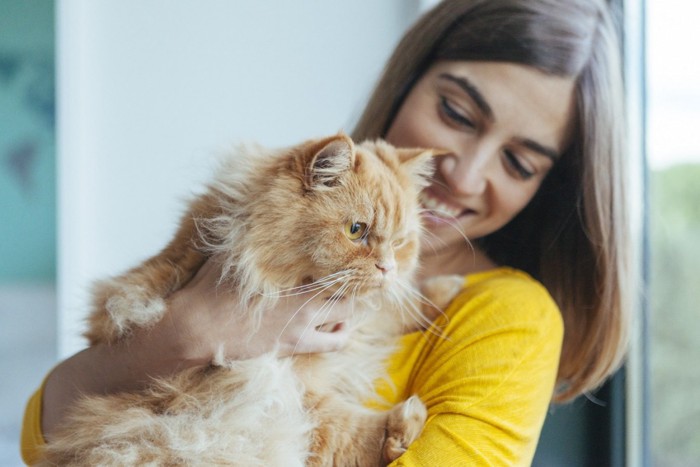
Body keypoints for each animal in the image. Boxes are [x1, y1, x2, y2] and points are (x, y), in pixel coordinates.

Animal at [41, 133, 462, 466]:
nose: (387, 267)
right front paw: (406, 426)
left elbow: (393, 309)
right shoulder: (280, 389)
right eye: (356, 230)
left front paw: (448, 291)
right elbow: (355, 434)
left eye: (401, 242)